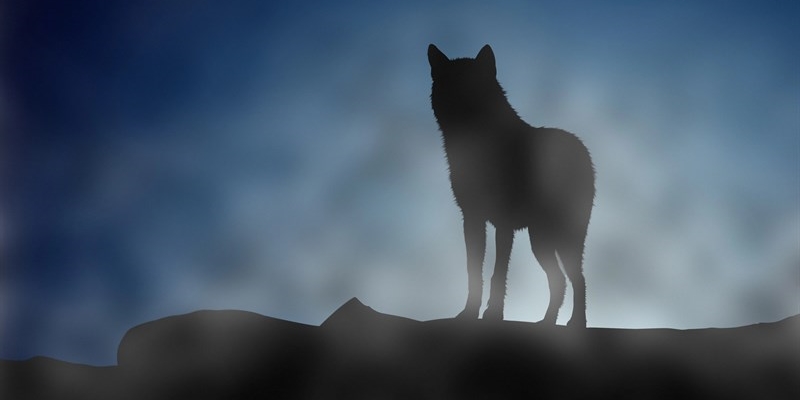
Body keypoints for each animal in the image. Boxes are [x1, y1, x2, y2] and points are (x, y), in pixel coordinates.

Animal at [428, 44, 595, 327]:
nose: (459, 104)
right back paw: (547, 323)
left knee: (579, 279)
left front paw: (494, 315)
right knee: (559, 281)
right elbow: (473, 271)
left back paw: (577, 324)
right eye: (448, 85)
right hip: (540, 242)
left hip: (565, 239)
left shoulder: (503, 225)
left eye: (473, 86)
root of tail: (581, 148)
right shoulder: (472, 219)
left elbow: (498, 273)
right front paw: (469, 313)